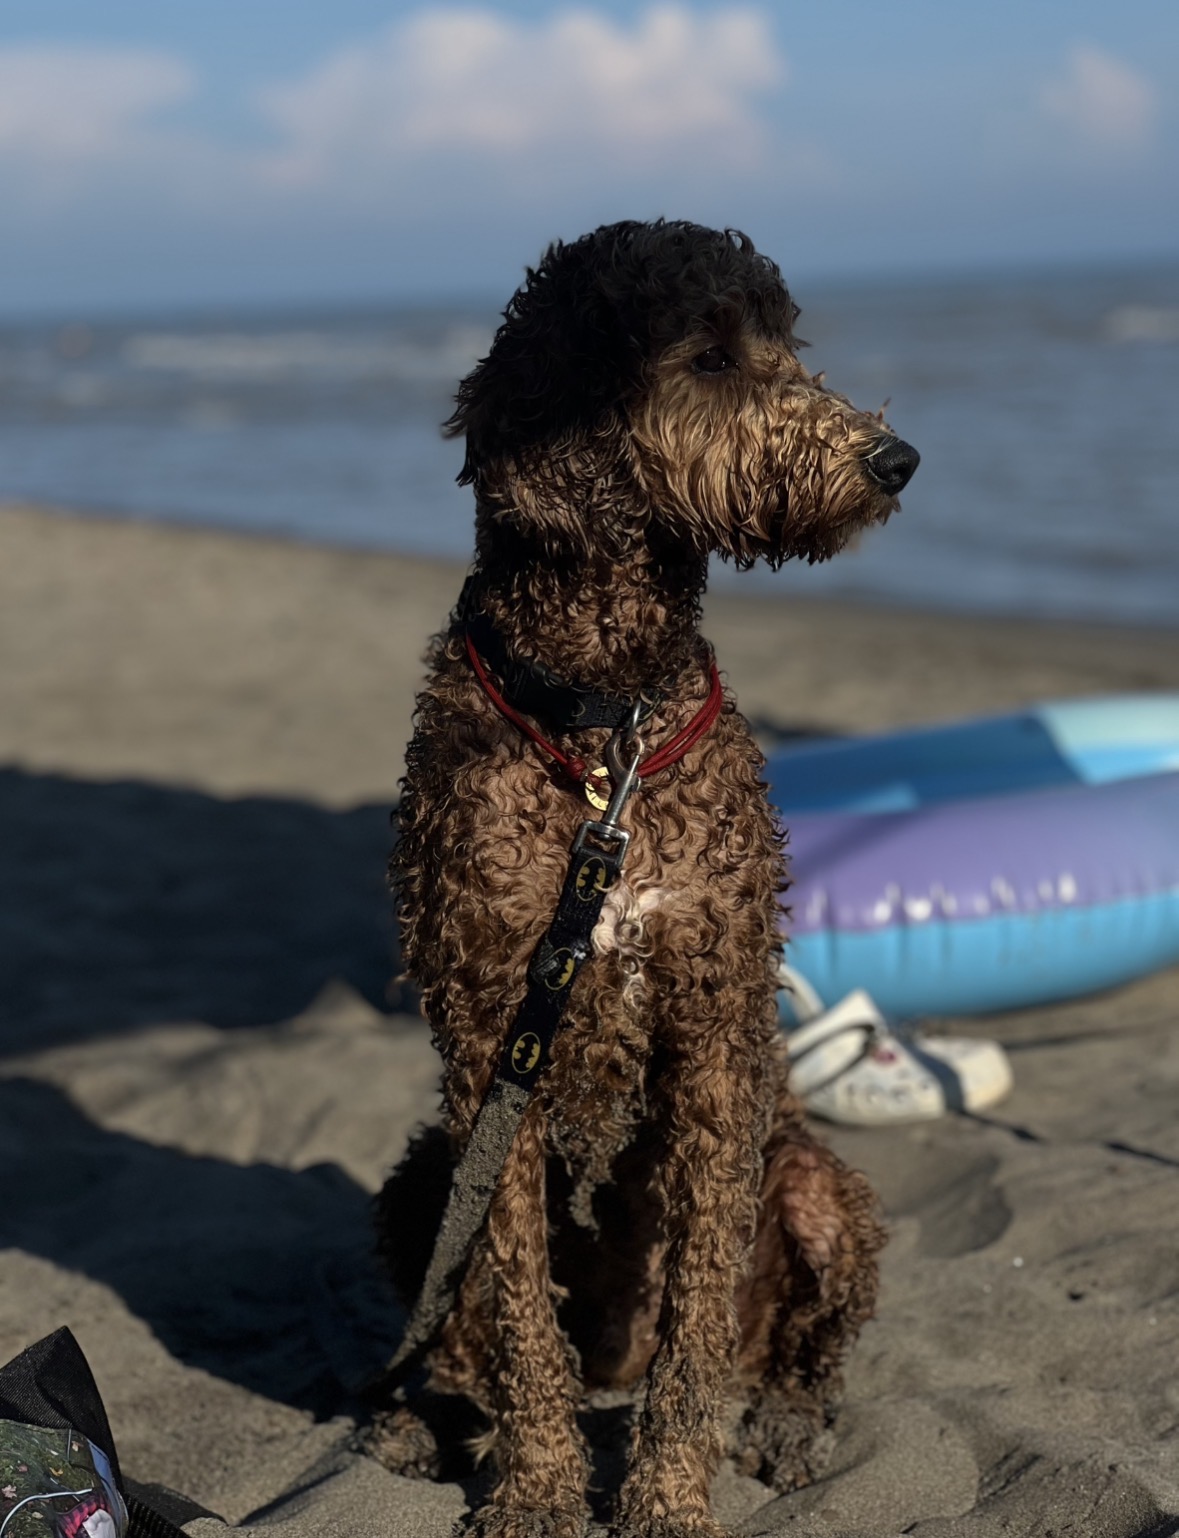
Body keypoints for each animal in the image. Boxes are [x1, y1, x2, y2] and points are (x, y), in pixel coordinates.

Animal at [371, 220, 917, 1538]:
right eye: (709, 356)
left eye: (784, 339)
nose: (895, 458)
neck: (604, 729)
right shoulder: (488, 1036)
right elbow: (518, 1299)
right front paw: (536, 1488)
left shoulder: (716, 1031)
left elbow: (695, 1315)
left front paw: (667, 1495)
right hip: (420, 1178)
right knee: (455, 1328)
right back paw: (419, 1420)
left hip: (820, 1183)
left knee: (797, 1347)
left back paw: (786, 1419)